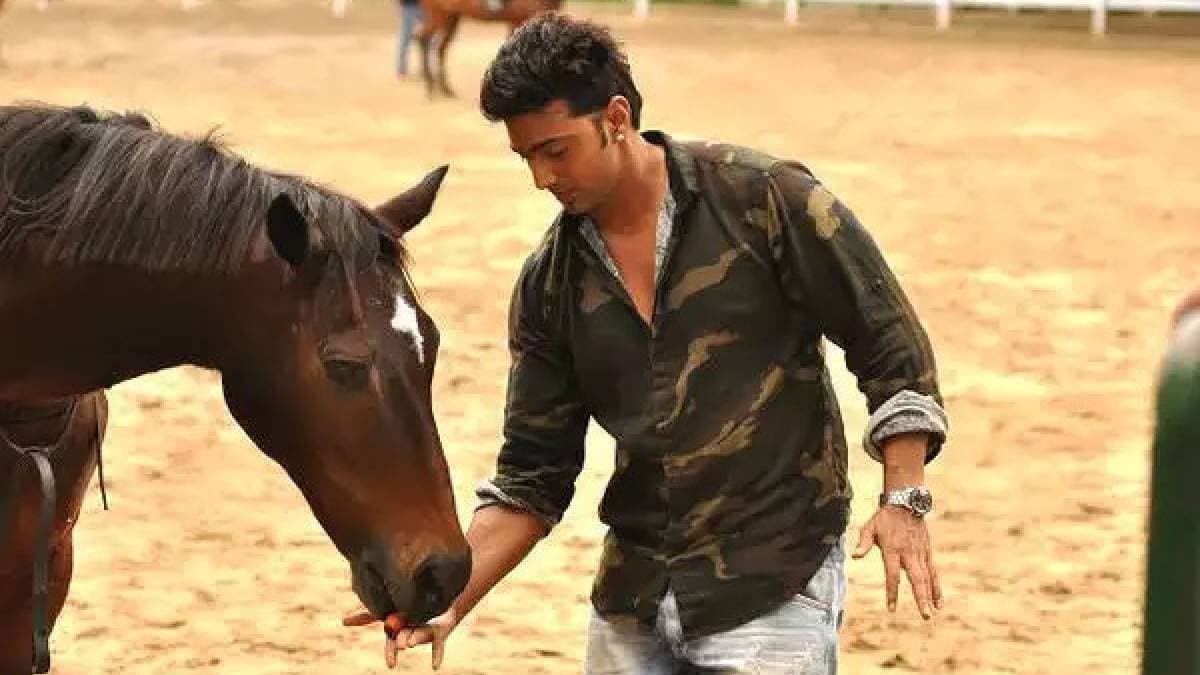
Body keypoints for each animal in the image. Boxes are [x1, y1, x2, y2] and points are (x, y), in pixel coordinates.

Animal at [416, 0, 562, 98]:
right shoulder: (516, 21)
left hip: (451, 17)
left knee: (441, 48)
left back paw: (445, 89)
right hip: (439, 14)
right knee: (423, 38)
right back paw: (430, 87)